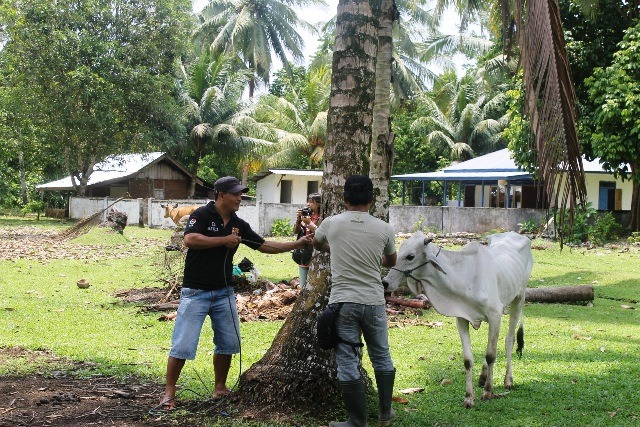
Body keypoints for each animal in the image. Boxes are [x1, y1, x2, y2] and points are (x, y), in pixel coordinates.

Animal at [382, 232, 532, 410]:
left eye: (410, 256)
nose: (385, 282)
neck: (463, 276)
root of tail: (514, 234)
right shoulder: (462, 318)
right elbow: (468, 360)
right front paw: (469, 398)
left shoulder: (495, 314)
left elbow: (491, 355)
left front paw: (488, 391)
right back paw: (483, 376)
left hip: (519, 299)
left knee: (509, 340)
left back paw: (508, 380)